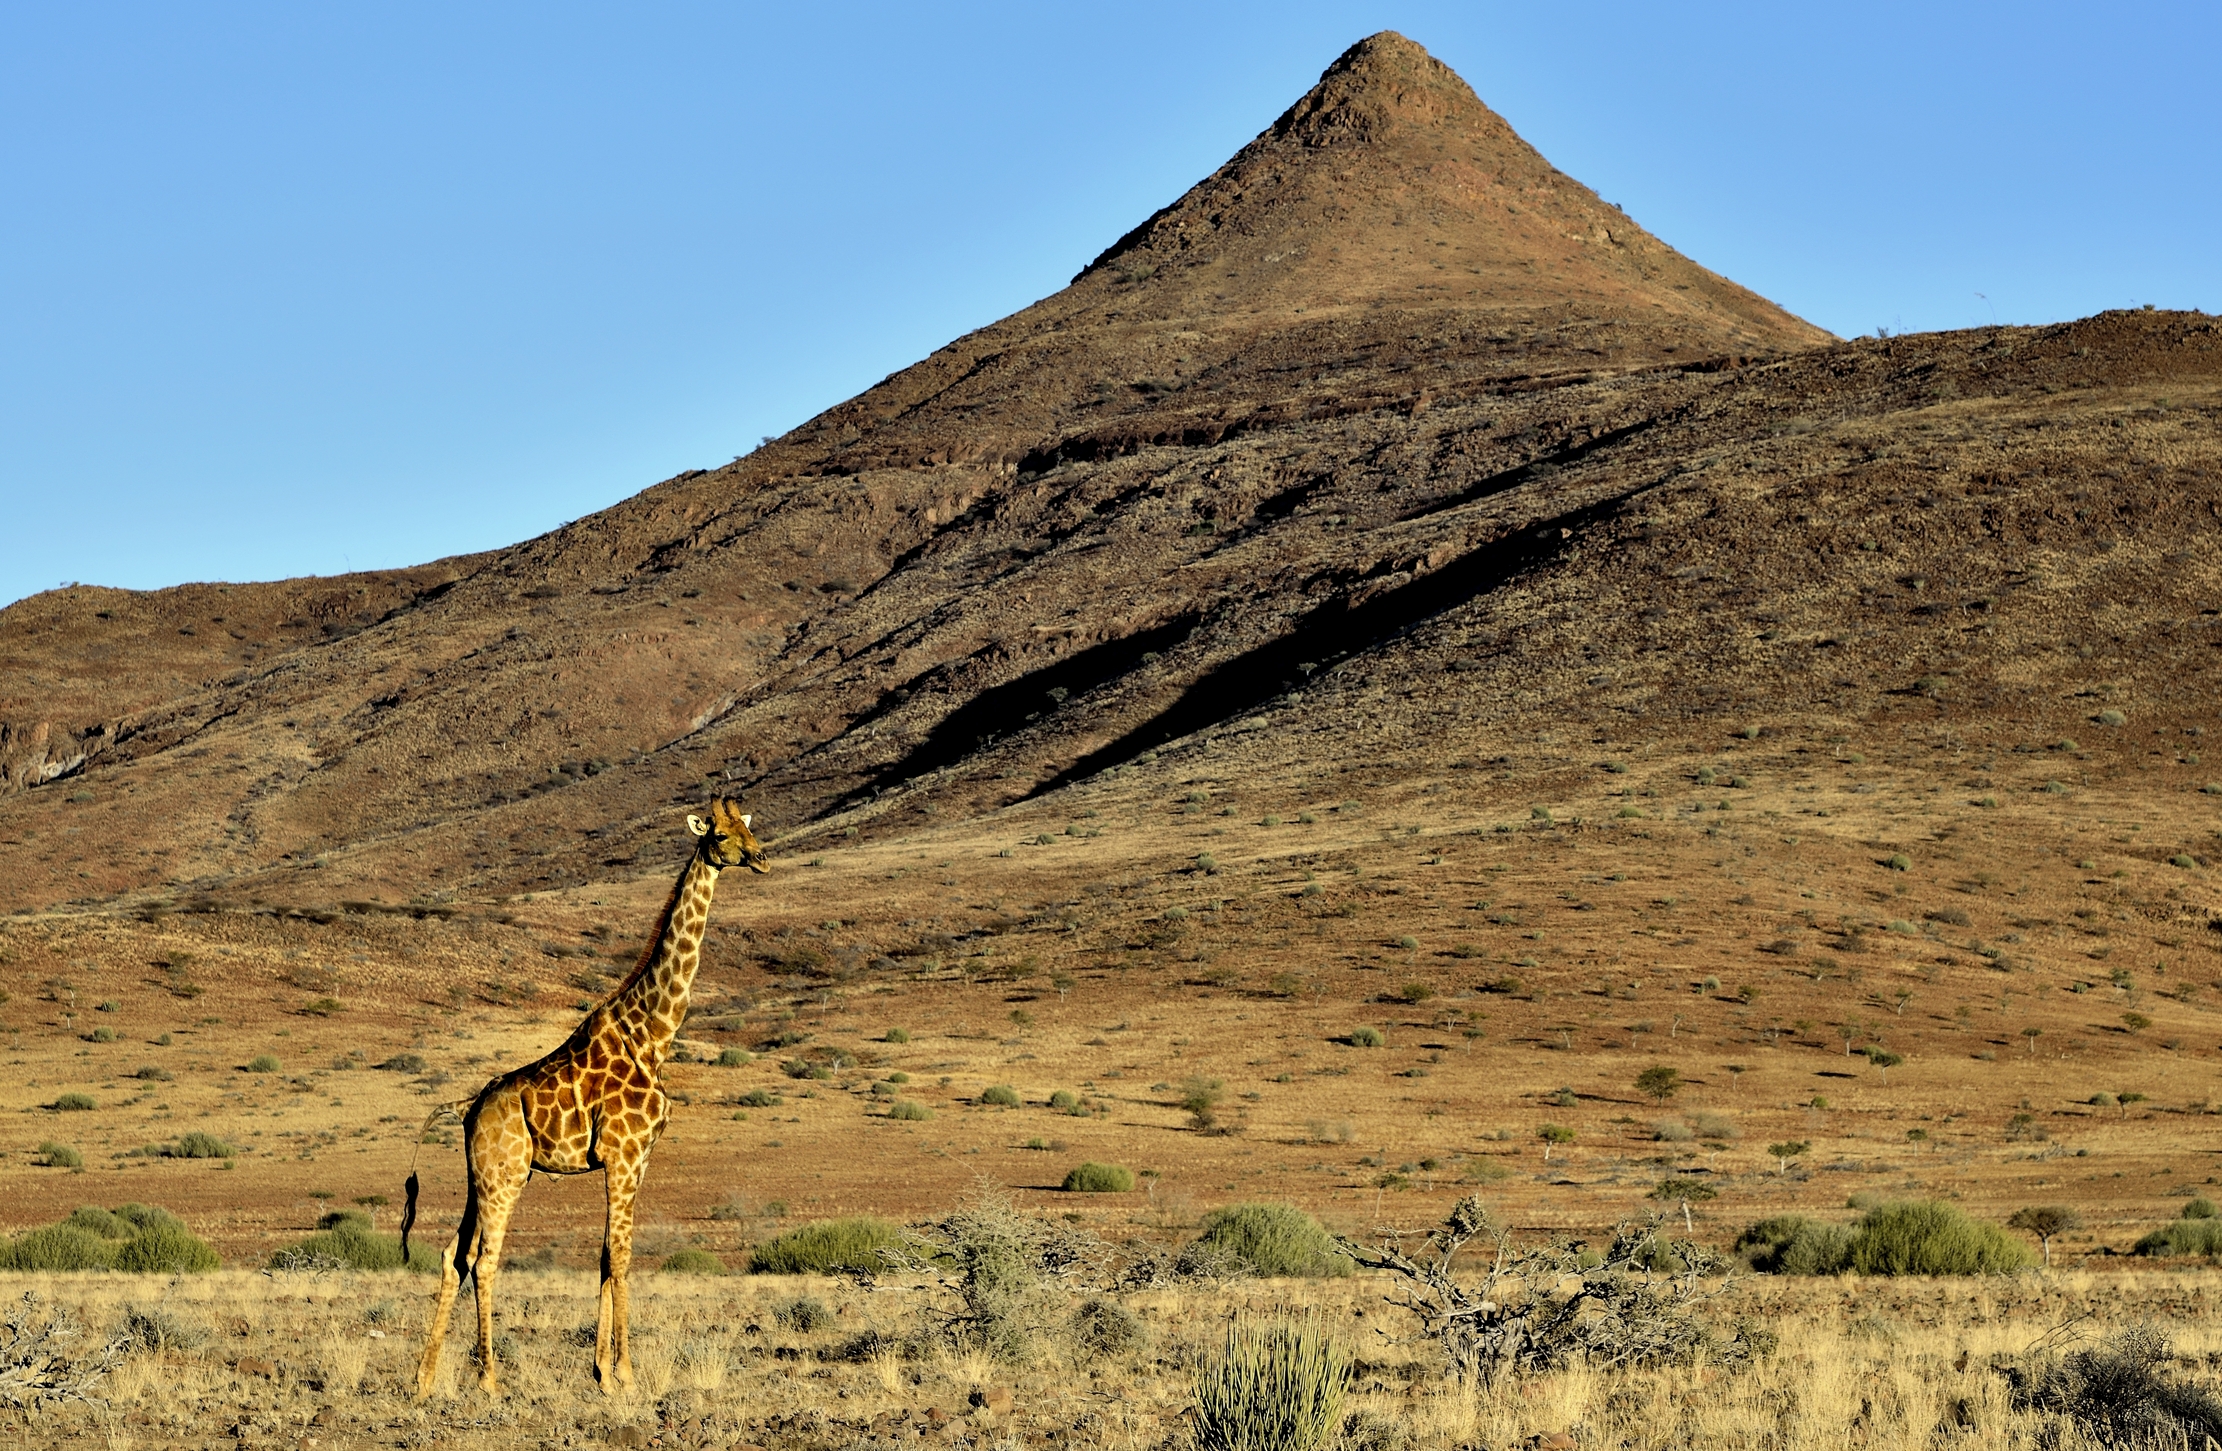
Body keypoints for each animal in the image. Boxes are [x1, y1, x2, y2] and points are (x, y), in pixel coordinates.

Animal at [406, 799, 768, 1397]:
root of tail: (467, 1108)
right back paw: (489, 1379)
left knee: (452, 1256)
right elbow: (620, 1257)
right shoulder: (623, 1154)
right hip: (505, 1176)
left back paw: (425, 1378)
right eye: (720, 833)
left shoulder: (638, 1159)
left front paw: (601, 1373)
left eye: (749, 826)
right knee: (484, 1261)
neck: (655, 1033)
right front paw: (626, 1374)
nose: (761, 857)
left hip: (480, 1177)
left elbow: (603, 1255)